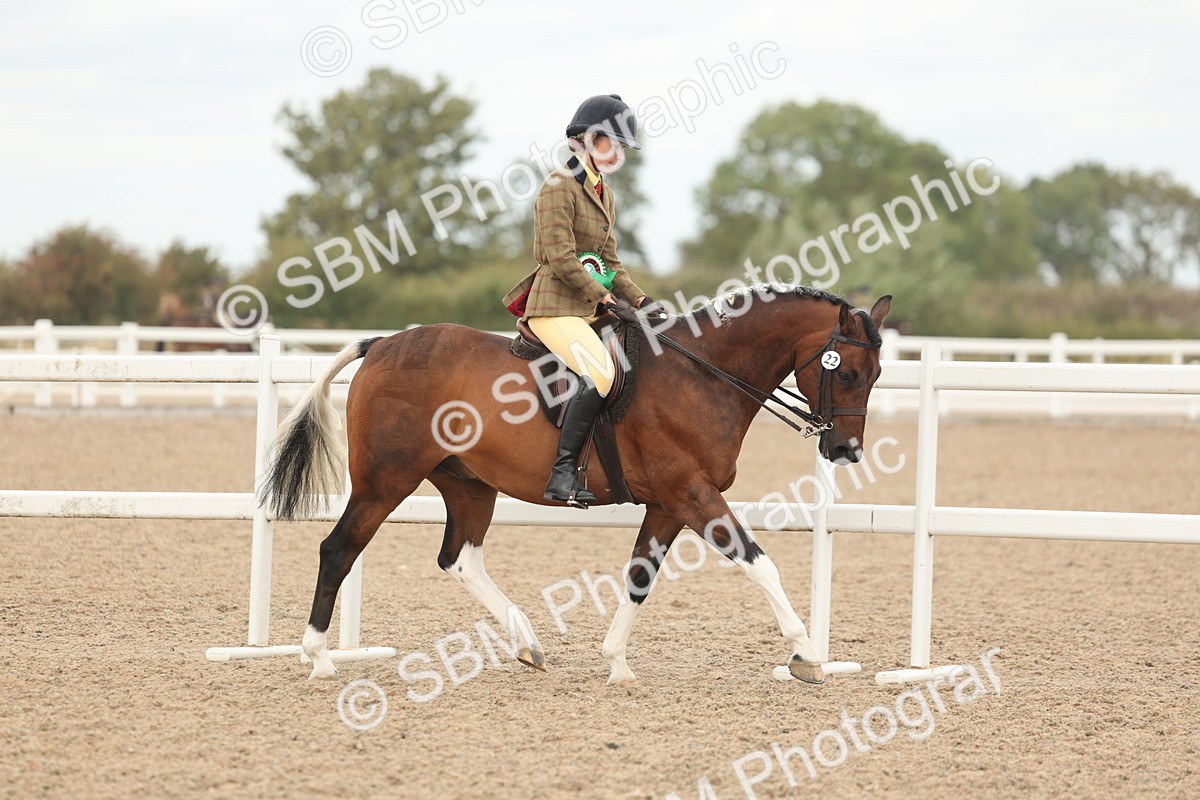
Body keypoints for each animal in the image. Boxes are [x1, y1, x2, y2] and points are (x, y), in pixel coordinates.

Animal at [259, 285, 892, 685]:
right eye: (847, 373)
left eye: (877, 375)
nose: (846, 451)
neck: (700, 374)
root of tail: (382, 344)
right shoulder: (692, 493)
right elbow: (761, 564)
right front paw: (805, 654)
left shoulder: (669, 504)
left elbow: (640, 577)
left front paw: (617, 663)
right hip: (384, 482)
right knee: (339, 549)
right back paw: (319, 658)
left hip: (468, 484)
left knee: (460, 558)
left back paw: (527, 644)